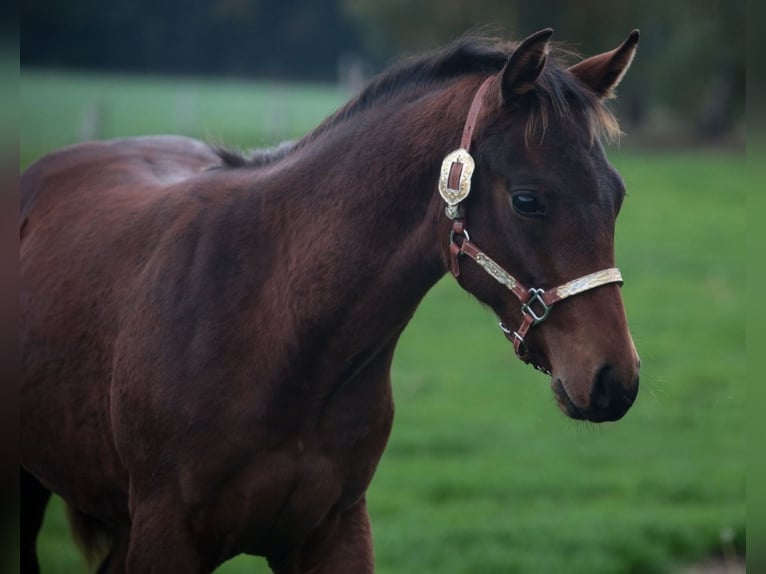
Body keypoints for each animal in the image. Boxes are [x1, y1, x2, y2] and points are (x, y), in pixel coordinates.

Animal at [20, 29, 641, 573]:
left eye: (617, 196)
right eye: (527, 200)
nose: (616, 379)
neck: (275, 330)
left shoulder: (334, 531)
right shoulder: (165, 534)